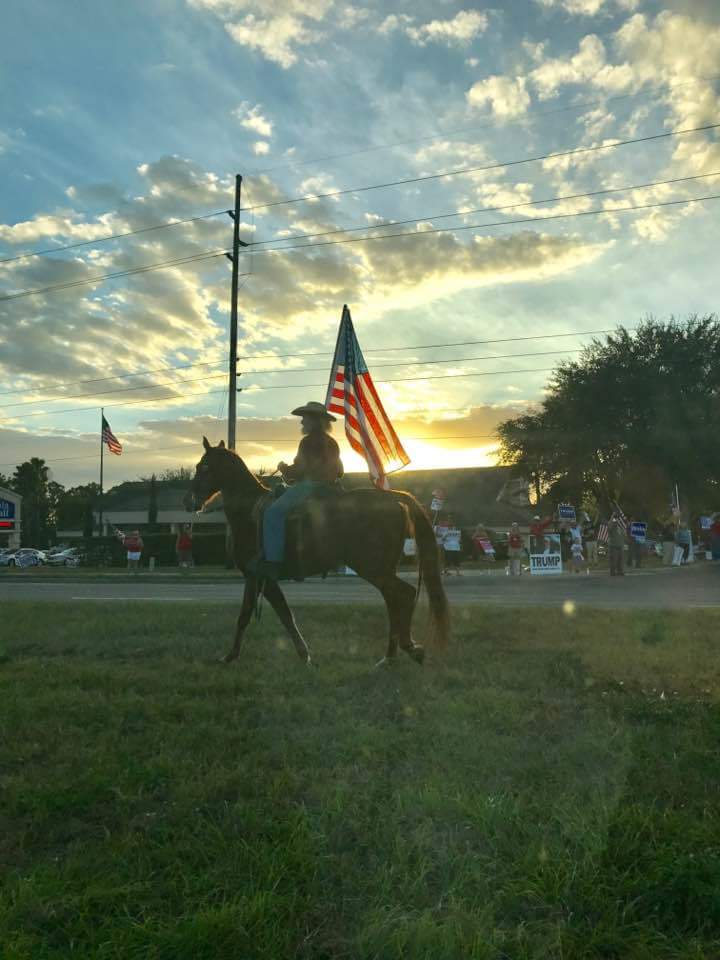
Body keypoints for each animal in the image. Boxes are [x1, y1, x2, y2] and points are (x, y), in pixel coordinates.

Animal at [183, 436, 448, 668]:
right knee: (394, 599)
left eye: (204, 466)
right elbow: (282, 614)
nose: (189, 500)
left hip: (373, 568)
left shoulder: (256, 576)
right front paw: (304, 655)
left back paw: (407, 649)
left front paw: (230, 656)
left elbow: (249, 615)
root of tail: (392, 499)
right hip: (381, 570)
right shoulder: (263, 580)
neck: (249, 511)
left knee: (403, 594)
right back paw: (391, 656)